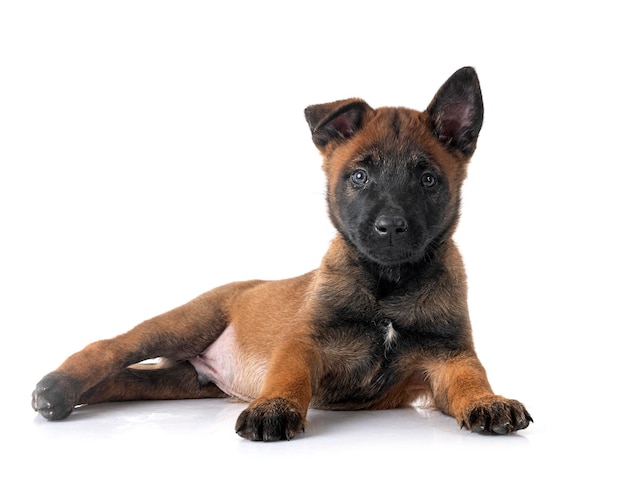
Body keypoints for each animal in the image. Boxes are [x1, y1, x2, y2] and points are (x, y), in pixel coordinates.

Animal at [33, 66, 532, 438]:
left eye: (428, 179)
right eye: (359, 177)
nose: (389, 228)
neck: (386, 283)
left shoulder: (449, 357)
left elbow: (471, 379)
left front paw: (489, 401)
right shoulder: (303, 342)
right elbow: (289, 376)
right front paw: (274, 407)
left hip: (180, 381)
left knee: (126, 379)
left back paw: (68, 399)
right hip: (184, 324)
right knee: (108, 350)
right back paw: (56, 387)